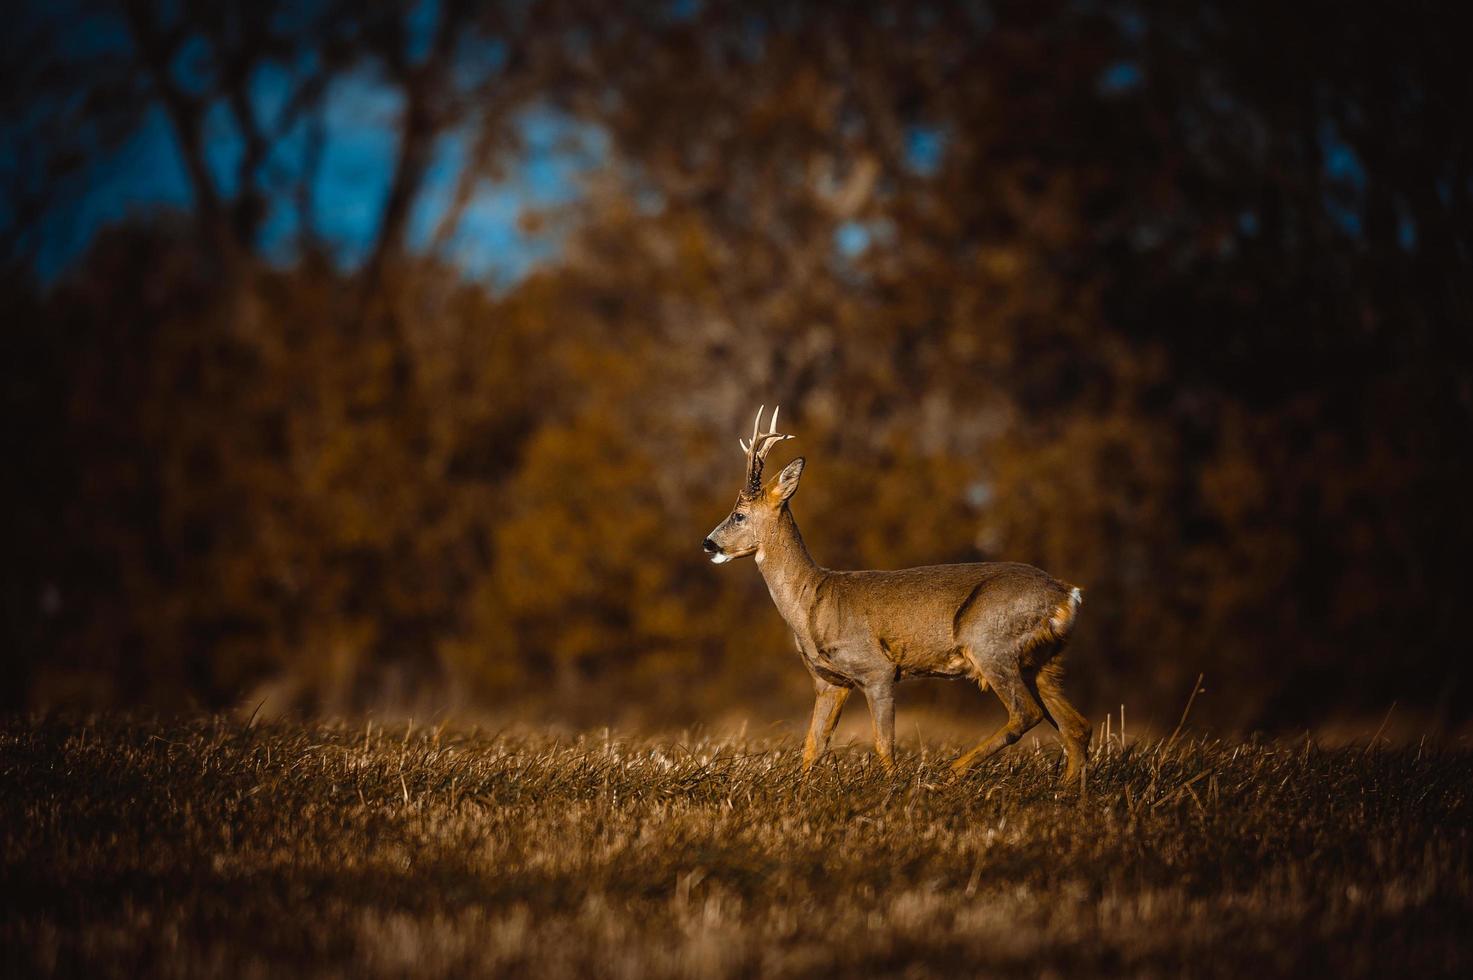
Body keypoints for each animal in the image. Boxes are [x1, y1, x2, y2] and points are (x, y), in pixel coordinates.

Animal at [707, 403, 1090, 778]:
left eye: (738, 515)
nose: (708, 543)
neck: (813, 600)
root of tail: (1067, 595)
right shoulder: (829, 681)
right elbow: (812, 748)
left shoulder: (878, 669)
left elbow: (883, 746)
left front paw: (893, 788)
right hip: (1040, 661)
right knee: (1076, 727)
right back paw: (1069, 788)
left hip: (990, 641)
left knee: (1026, 714)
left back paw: (950, 773)